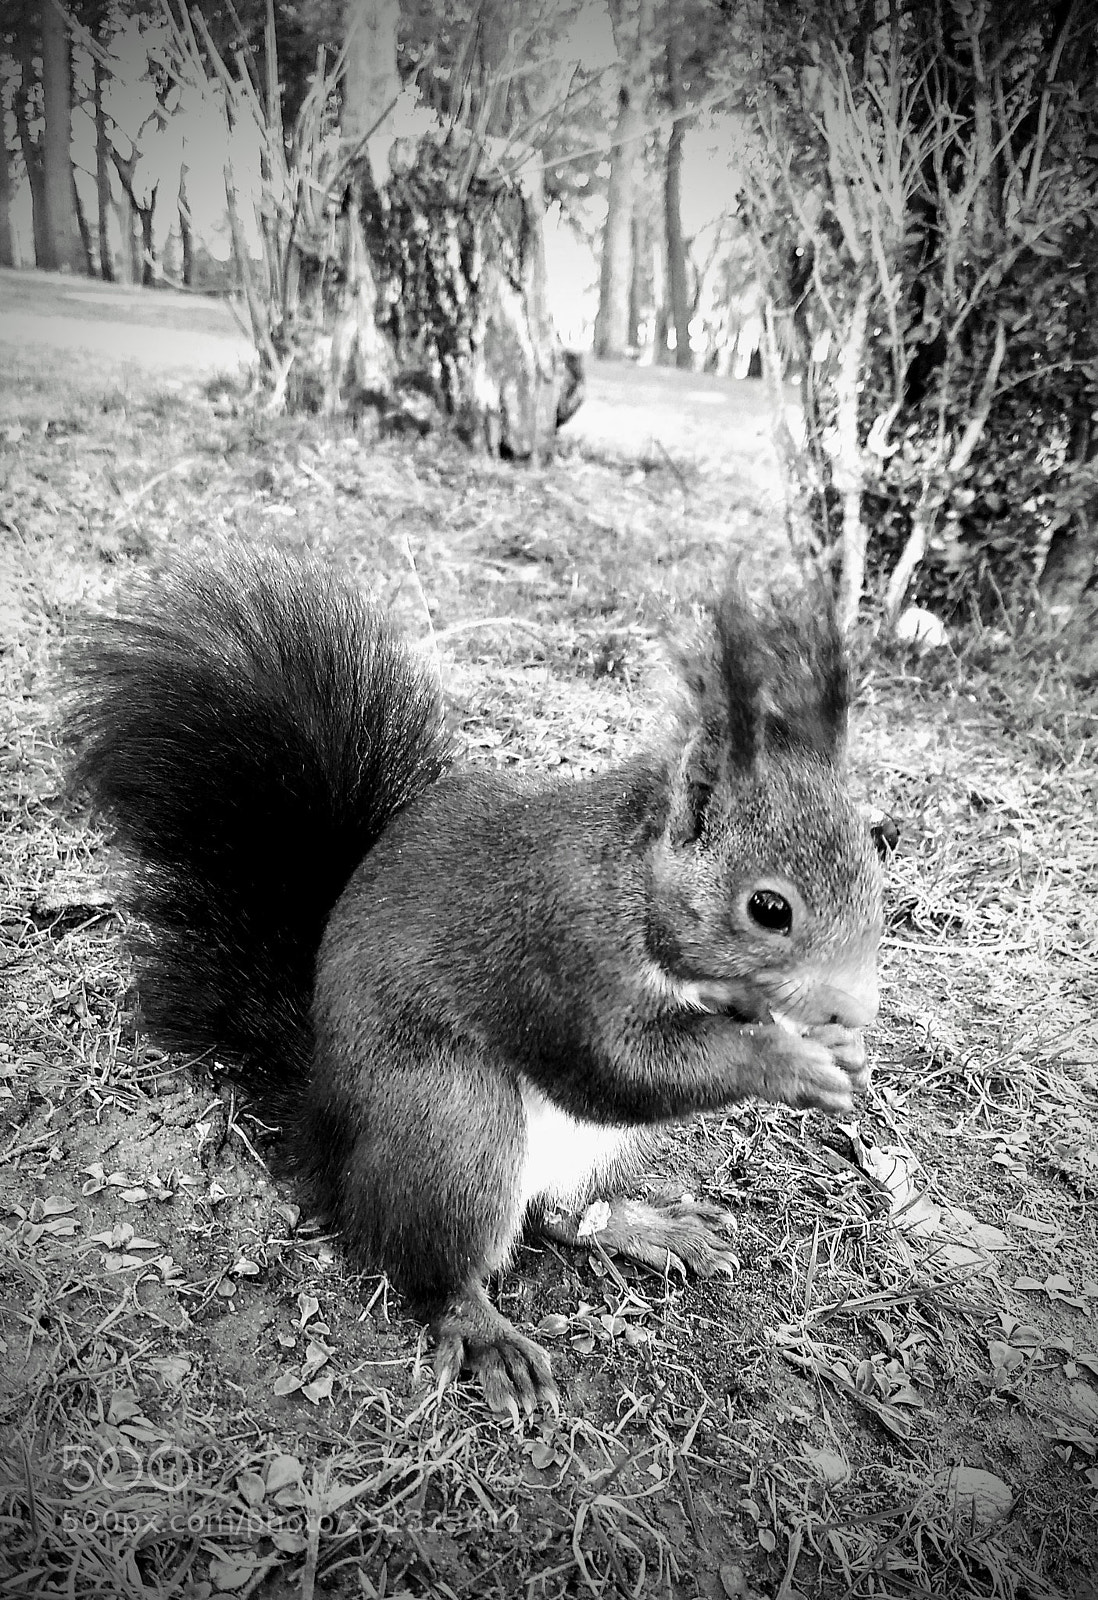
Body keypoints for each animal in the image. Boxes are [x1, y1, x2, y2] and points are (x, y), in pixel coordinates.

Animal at [64, 547, 886, 1418]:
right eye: (769, 908)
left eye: (877, 858)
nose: (855, 1006)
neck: (630, 881)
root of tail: (329, 1143)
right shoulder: (554, 955)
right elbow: (616, 1072)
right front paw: (789, 1062)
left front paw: (838, 1048)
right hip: (451, 1125)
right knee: (431, 1267)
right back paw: (485, 1331)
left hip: (575, 1154)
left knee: (563, 1215)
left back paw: (647, 1228)